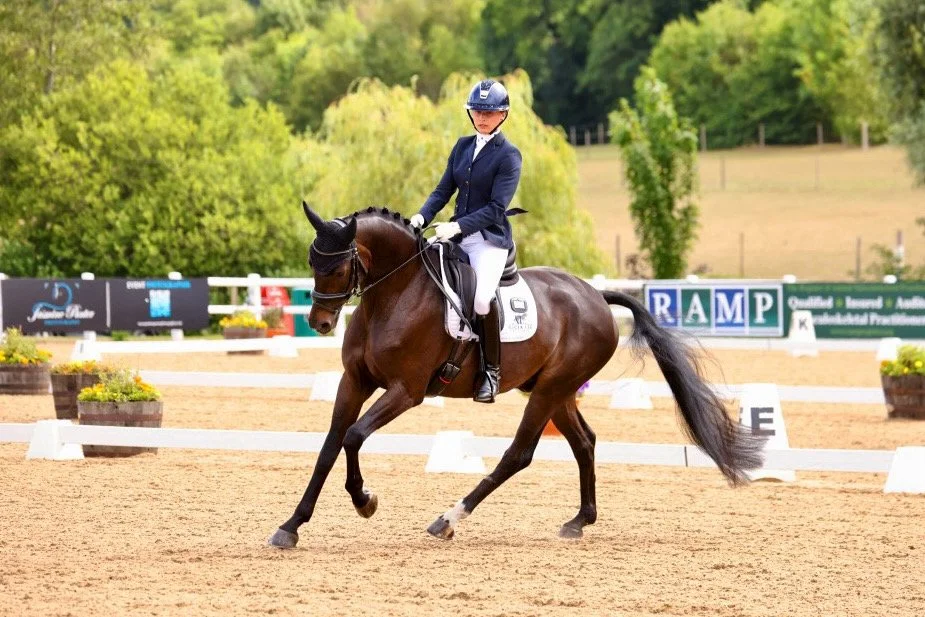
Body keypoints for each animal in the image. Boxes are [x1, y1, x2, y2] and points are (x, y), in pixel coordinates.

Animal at [268, 203, 765, 548]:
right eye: (311, 262)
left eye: (336, 265)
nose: (320, 323)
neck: (395, 294)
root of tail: (596, 296)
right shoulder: (354, 381)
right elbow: (329, 447)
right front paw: (291, 526)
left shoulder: (406, 391)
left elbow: (353, 436)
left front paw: (365, 500)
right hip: (556, 390)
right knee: (584, 443)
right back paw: (579, 521)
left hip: (549, 390)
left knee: (519, 454)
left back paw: (448, 520)